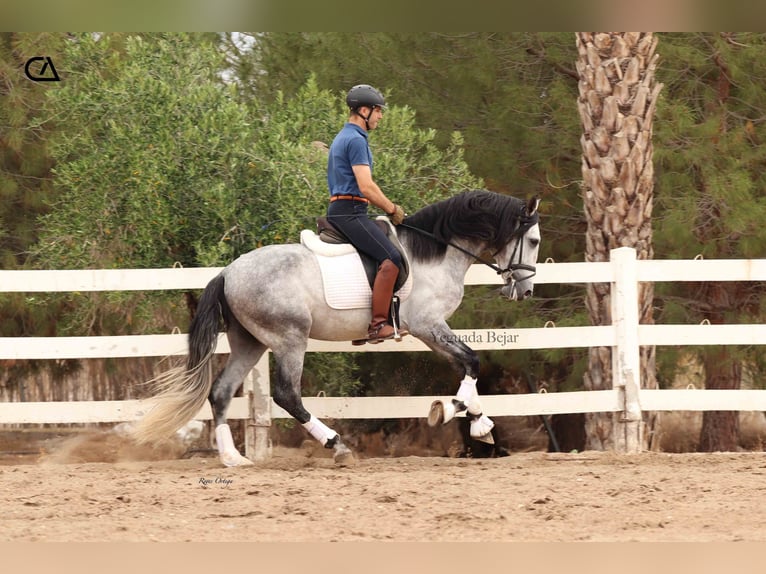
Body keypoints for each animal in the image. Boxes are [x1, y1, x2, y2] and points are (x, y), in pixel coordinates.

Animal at [130, 190, 540, 468]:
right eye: (534, 240)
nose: (525, 290)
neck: (434, 253)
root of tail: (227, 273)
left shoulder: (430, 330)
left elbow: (466, 365)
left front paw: (478, 422)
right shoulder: (428, 325)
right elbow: (472, 361)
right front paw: (456, 412)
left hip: (250, 342)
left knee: (220, 392)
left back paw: (233, 458)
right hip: (289, 339)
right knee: (287, 395)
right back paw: (336, 445)